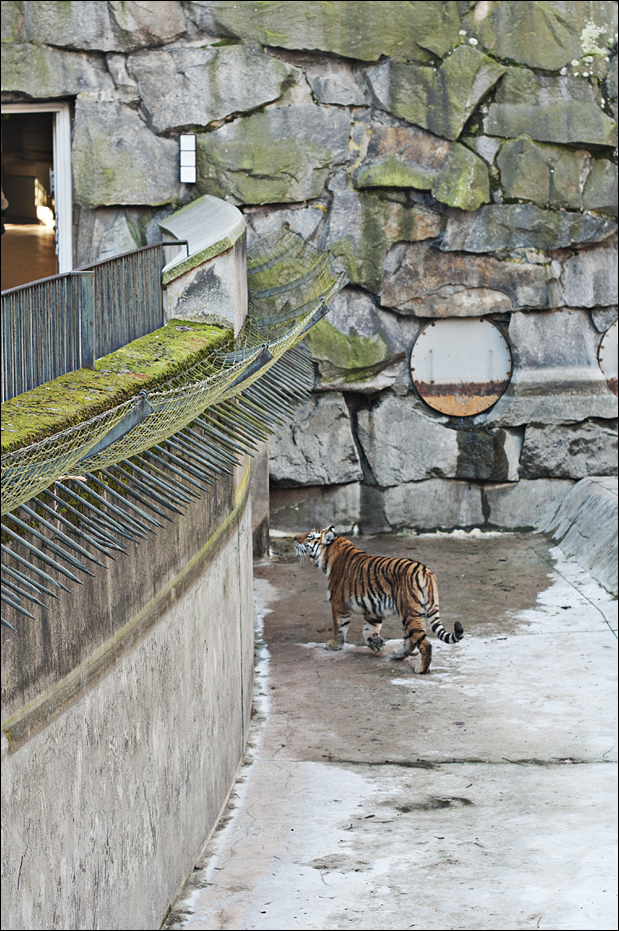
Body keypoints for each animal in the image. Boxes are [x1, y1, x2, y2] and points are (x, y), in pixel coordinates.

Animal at [294, 526, 463, 674]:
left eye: (309, 537)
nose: (295, 538)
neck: (330, 554)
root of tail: (425, 570)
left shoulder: (338, 604)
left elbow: (339, 628)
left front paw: (334, 645)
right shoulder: (373, 608)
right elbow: (369, 630)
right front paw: (377, 645)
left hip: (410, 612)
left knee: (424, 643)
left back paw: (421, 669)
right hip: (409, 612)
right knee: (410, 641)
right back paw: (396, 655)